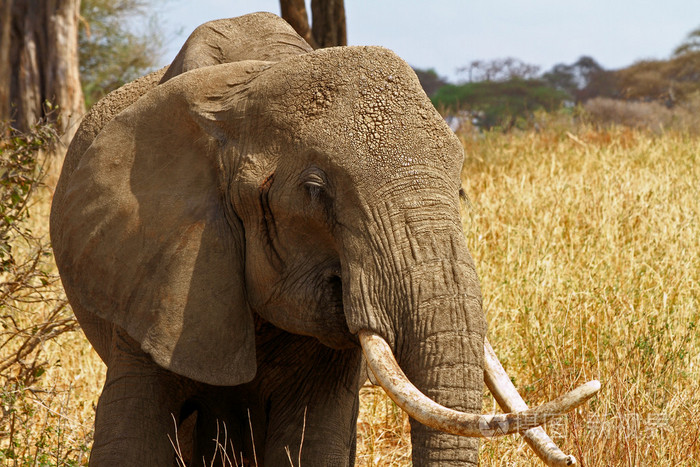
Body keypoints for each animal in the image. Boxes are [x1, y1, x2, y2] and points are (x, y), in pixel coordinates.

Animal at [50, 12, 599, 466]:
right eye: (315, 192)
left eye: (460, 189)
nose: (572, 456)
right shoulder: (150, 269)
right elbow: (131, 439)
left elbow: (313, 443)